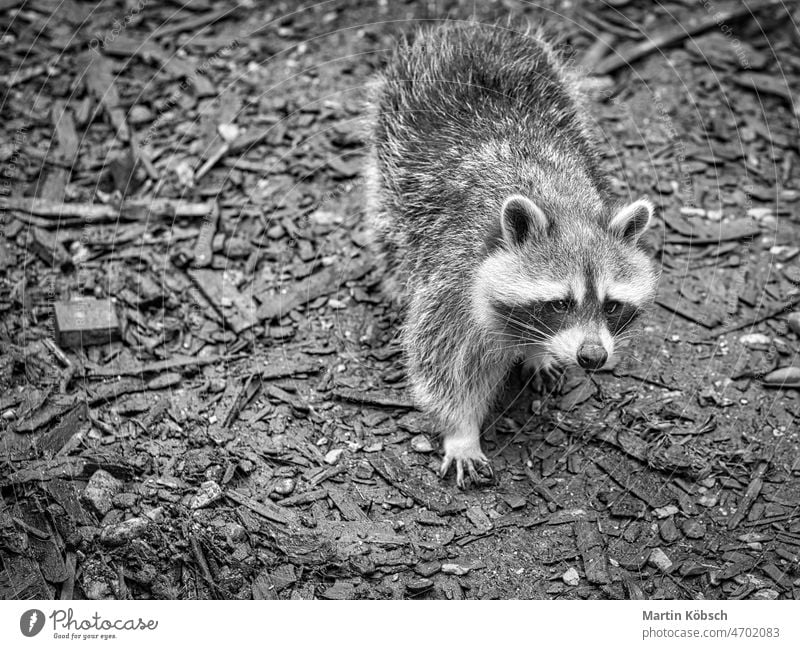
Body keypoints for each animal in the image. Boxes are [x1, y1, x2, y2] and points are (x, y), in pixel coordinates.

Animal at [366, 21, 660, 486]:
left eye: (612, 305)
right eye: (559, 303)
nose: (592, 357)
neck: (563, 204)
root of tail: (468, 26)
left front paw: (540, 354)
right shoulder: (452, 284)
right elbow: (443, 367)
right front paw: (461, 432)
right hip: (393, 138)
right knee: (389, 227)